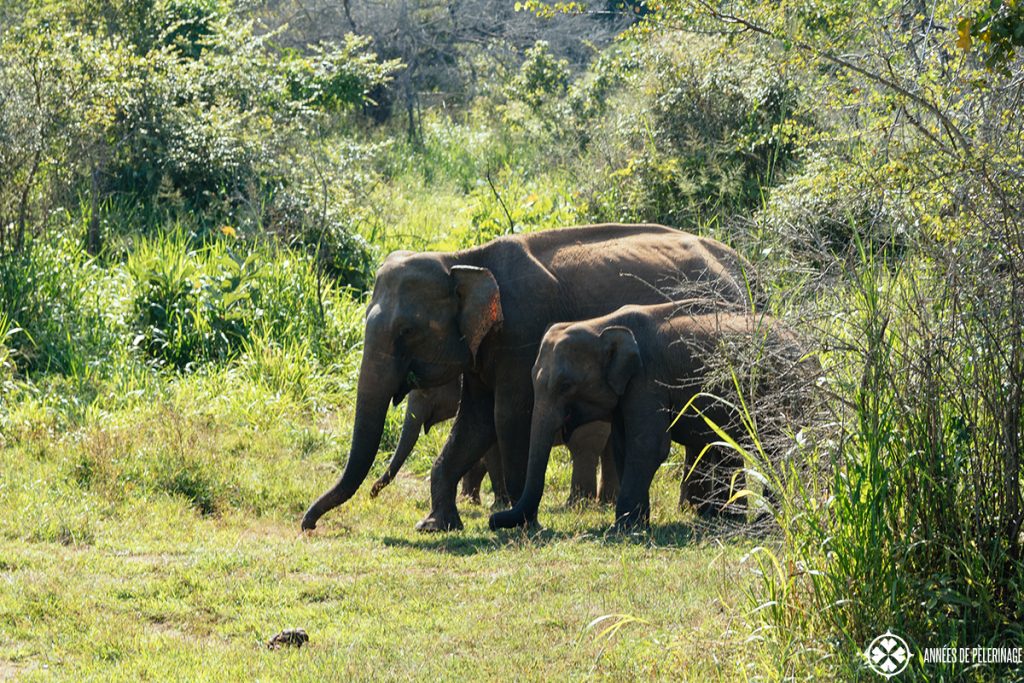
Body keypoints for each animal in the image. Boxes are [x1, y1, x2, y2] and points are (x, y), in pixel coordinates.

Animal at [372, 378, 618, 507]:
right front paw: (469, 500)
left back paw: (576, 504)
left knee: (584, 447)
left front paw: (498, 504)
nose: (372, 492)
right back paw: (606, 503)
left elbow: (490, 451)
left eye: (426, 391)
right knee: (608, 451)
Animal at [491, 305, 811, 532]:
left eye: (565, 385)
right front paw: (637, 522)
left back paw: (768, 521)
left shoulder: (648, 379)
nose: (494, 521)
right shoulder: (629, 390)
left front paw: (623, 527)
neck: (602, 324)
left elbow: (648, 445)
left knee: (779, 450)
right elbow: (623, 446)